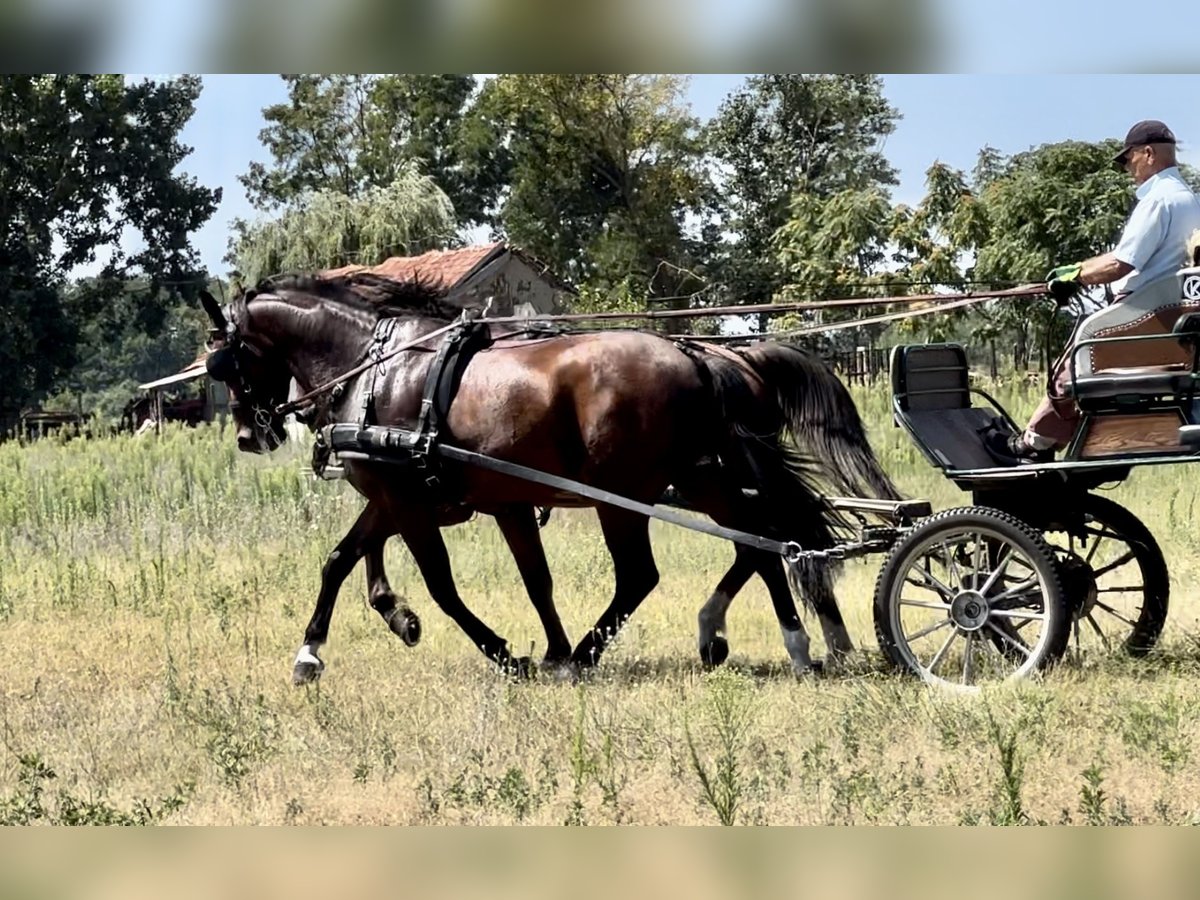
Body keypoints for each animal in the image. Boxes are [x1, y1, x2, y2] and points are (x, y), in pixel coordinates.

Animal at [199, 274, 902, 681]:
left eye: (223, 362)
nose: (251, 436)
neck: (378, 366)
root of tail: (697, 356)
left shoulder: (406, 499)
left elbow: (441, 585)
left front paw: (508, 652)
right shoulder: (445, 499)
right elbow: (344, 560)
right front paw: (316, 651)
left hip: (626, 496)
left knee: (647, 574)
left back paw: (595, 654)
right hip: (706, 481)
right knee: (764, 540)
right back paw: (789, 642)